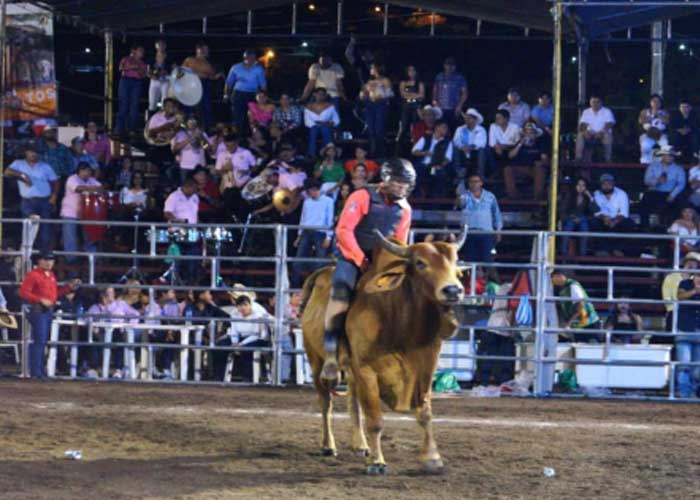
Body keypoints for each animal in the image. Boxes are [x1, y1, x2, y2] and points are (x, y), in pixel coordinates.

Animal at [300, 229, 464, 474]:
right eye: (420, 262)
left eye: (454, 261)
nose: (453, 290)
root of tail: (320, 274)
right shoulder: (366, 369)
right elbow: (375, 419)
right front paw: (377, 462)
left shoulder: (426, 368)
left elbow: (424, 413)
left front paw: (432, 458)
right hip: (315, 359)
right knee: (326, 402)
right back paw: (328, 446)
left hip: (350, 370)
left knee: (353, 401)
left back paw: (360, 445)